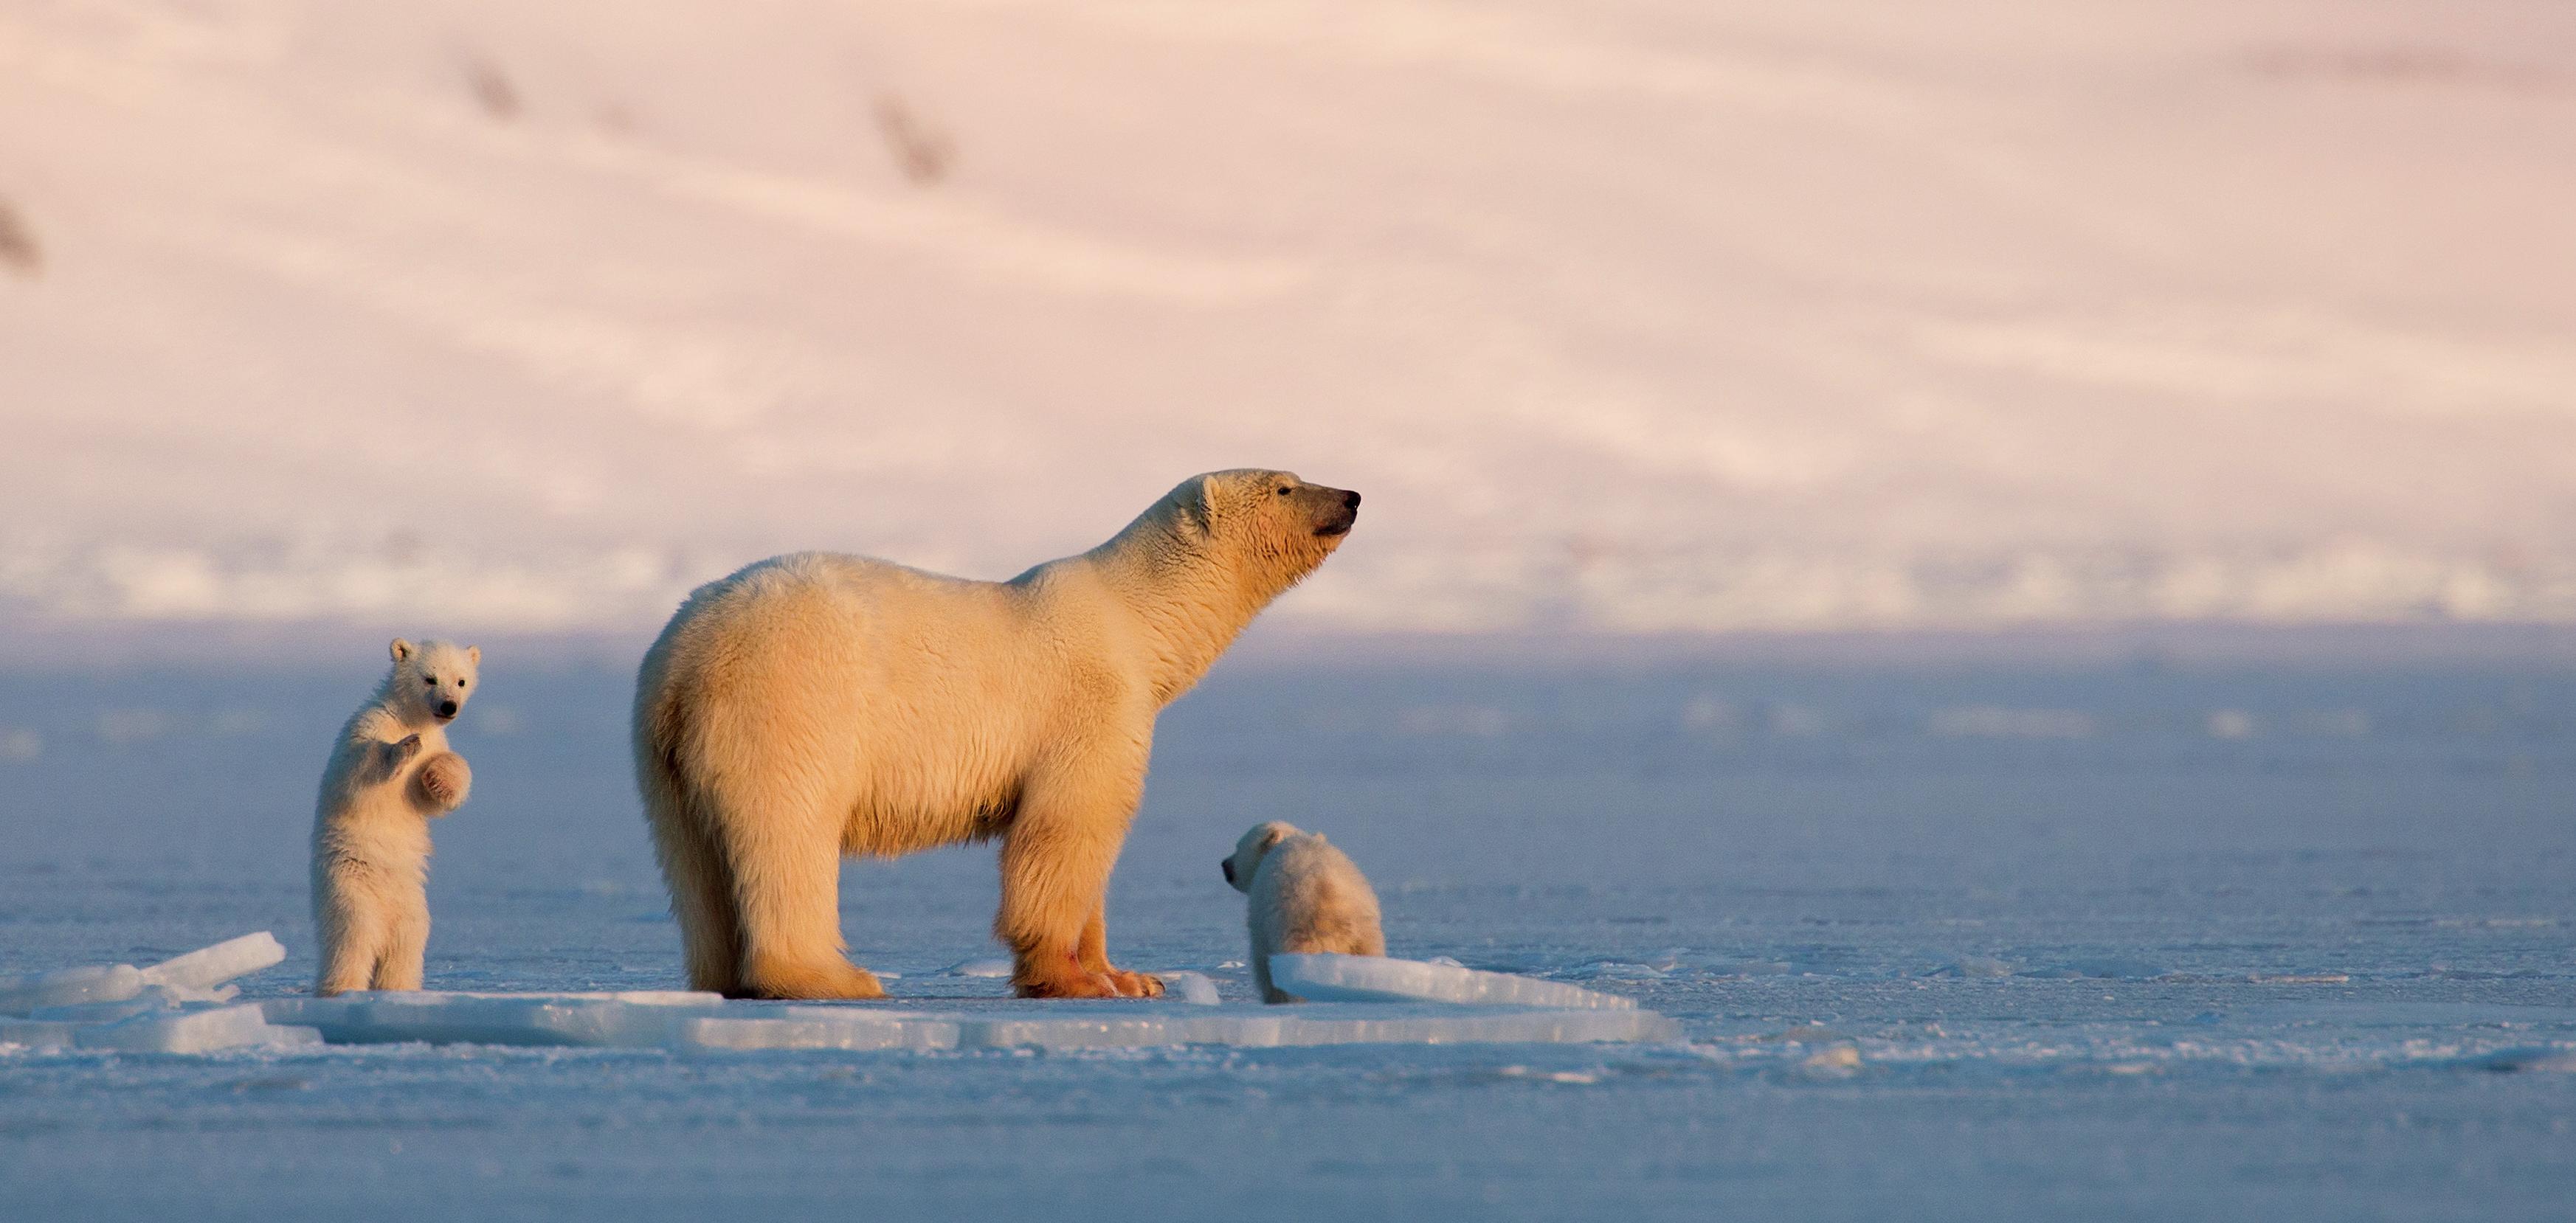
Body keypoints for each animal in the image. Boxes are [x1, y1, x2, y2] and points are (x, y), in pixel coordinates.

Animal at [311, 637, 479, 996]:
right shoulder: (367, 725)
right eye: (430, 679)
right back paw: (342, 989)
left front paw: (439, 776)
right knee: (352, 938)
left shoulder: (437, 741)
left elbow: (430, 797)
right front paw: (405, 747)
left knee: (405, 945)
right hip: (350, 885)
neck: (409, 717)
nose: (449, 706)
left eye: (461, 681)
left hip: (412, 903)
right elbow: (356, 771)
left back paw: (399, 988)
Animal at [634, 469, 1360, 1000]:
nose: (1352, 497)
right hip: (791, 703)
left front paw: (1132, 977)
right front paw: (1075, 981)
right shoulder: (1088, 705)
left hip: (663, 754)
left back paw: (722, 978)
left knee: (693, 864)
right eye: (1285, 485)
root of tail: (685, 657)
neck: (1136, 618)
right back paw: (834, 978)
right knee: (788, 833)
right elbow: (1066, 832)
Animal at [1221, 821, 1386, 1003]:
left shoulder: (1261, 919)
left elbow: (1263, 963)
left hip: (1296, 926)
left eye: (1238, 846)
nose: (1224, 864)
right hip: (1363, 934)